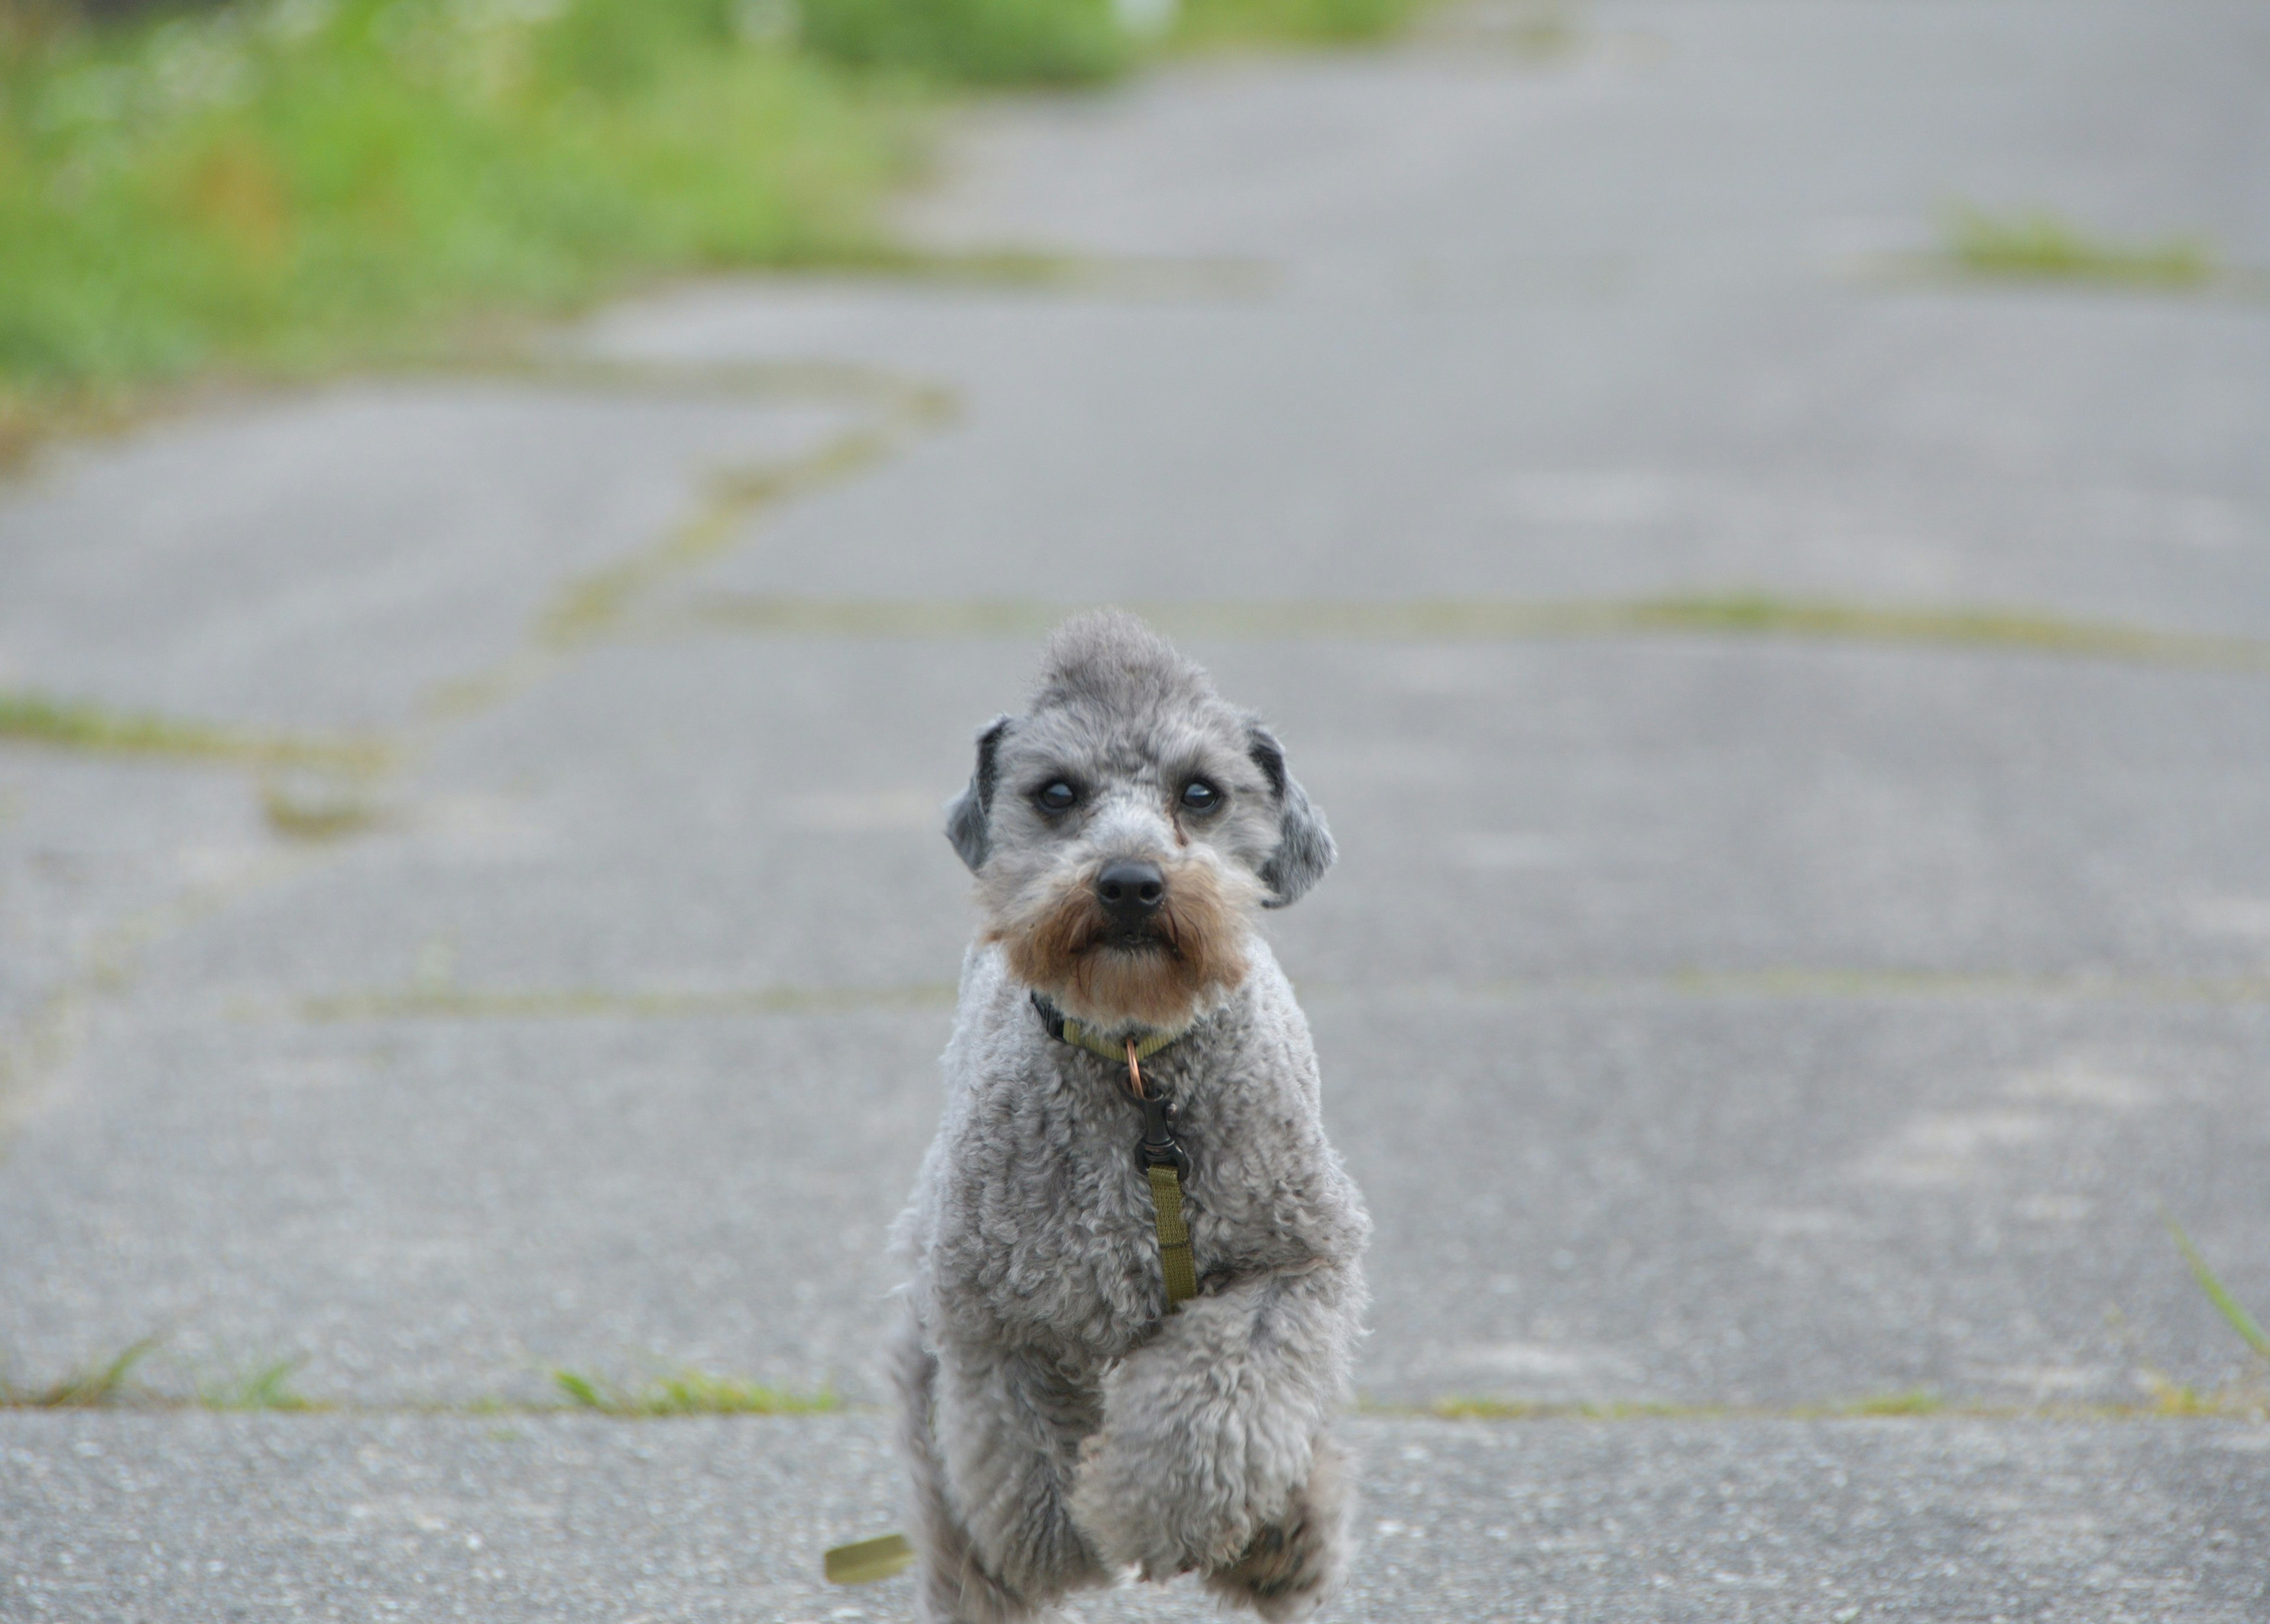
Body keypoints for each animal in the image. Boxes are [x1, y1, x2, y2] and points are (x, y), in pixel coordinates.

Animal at [890, 613, 1371, 1624]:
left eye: (1202, 792)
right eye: (1056, 793)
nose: (1130, 881)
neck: (1141, 1068)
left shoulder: (1296, 1265)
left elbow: (1220, 1407)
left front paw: (1160, 1516)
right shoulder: (993, 1315)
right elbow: (1018, 1454)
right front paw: (1057, 1541)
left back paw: (1283, 1542)